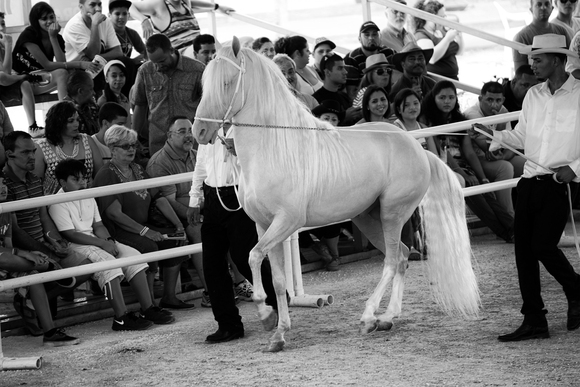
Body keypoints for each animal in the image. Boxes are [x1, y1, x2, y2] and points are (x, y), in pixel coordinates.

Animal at [193, 38, 478, 354]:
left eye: (227, 82)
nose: (199, 131)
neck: (274, 147)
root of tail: (418, 148)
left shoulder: (287, 222)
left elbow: (254, 257)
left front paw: (265, 314)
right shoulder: (264, 225)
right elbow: (276, 280)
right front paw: (278, 334)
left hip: (393, 213)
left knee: (392, 261)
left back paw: (369, 317)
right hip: (369, 218)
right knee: (403, 256)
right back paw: (387, 317)